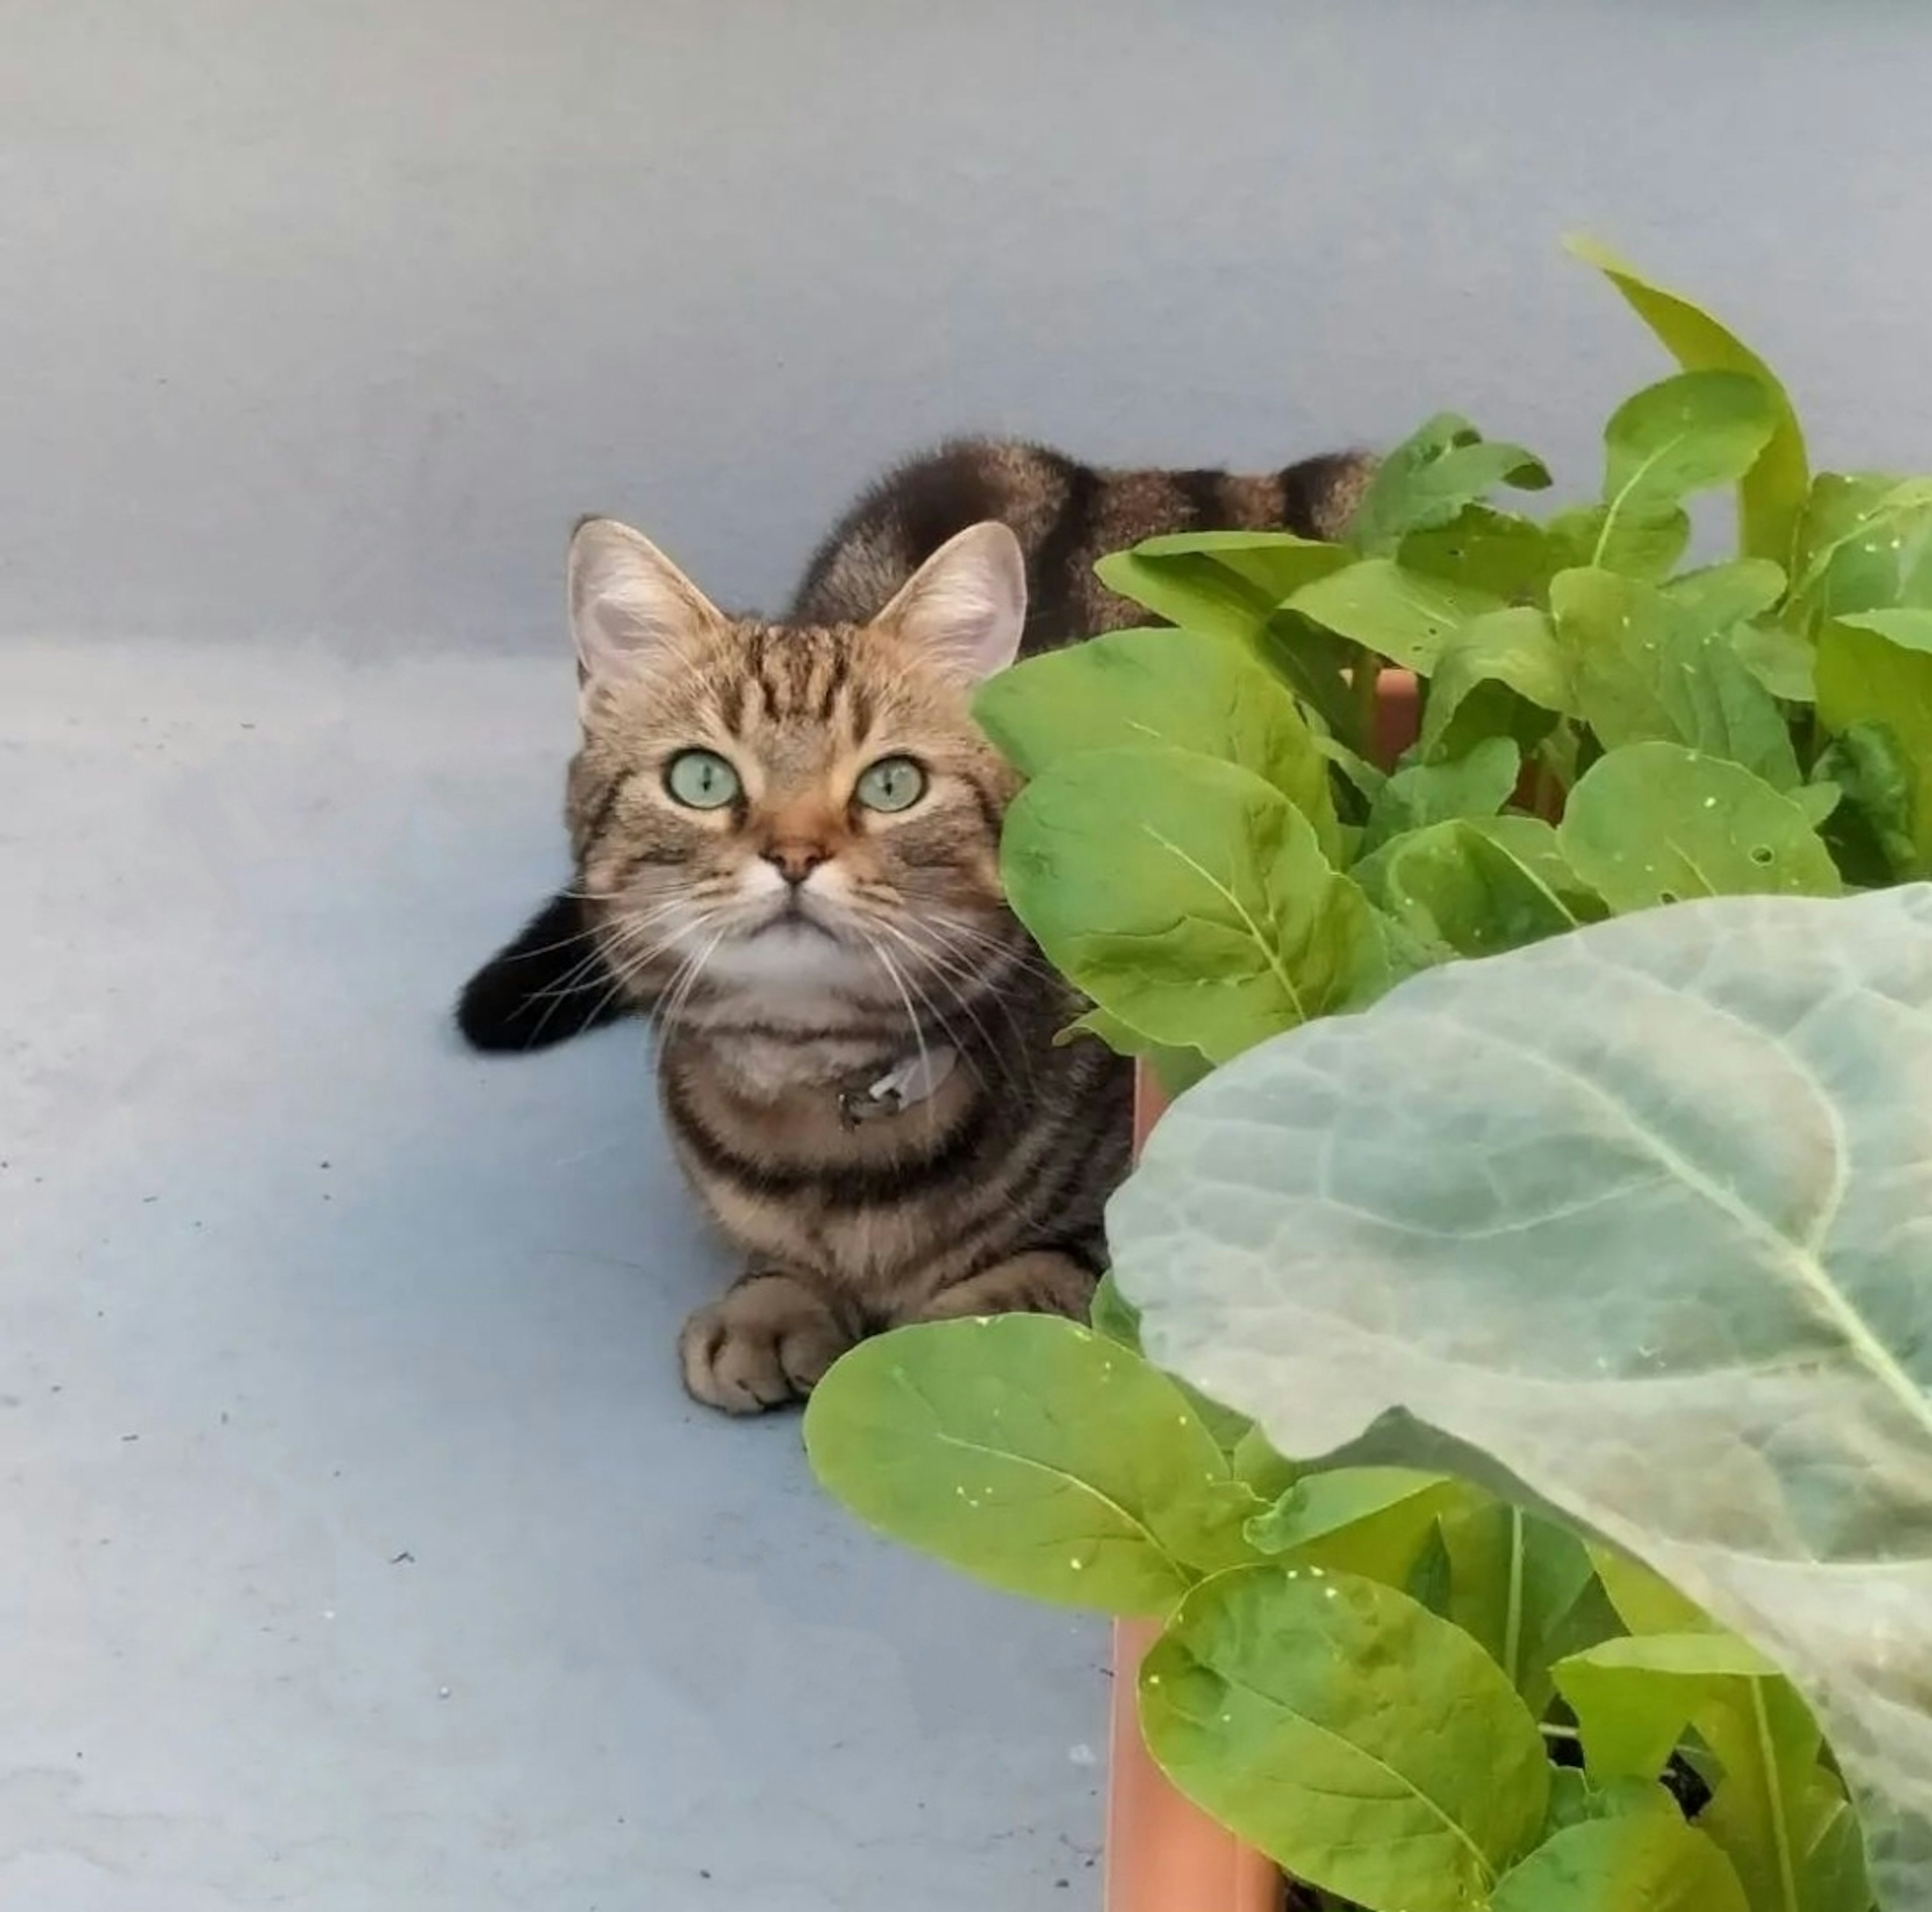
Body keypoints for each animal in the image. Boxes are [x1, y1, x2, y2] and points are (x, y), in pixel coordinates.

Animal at [452, 442, 1367, 1414]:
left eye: (892, 785)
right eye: (702, 780)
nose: (795, 853)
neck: (824, 1125)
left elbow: (1051, 1272)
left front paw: (942, 1351)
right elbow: (773, 1253)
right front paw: (769, 1302)